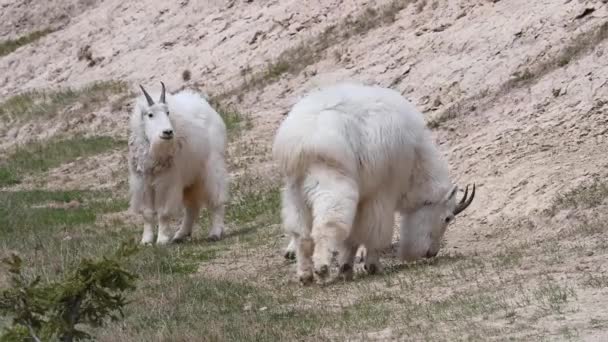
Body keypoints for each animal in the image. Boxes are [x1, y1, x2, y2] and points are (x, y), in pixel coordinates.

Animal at [127, 81, 229, 244]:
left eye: (168, 112)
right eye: (150, 114)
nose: (168, 132)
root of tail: (208, 108)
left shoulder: (166, 183)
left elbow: (163, 212)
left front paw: (162, 240)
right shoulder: (143, 182)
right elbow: (147, 213)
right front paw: (146, 241)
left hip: (212, 167)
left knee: (217, 200)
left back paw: (215, 233)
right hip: (190, 179)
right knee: (192, 207)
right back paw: (180, 235)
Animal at [274, 82, 478, 284]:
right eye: (447, 218)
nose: (431, 253)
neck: (415, 161)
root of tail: (299, 143)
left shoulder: (363, 197)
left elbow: (352, 238)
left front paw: (346, 269)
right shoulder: (381, 193)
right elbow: (375, 232)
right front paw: (372, 266)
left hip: (294, 190)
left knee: (300, 233)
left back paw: (305, 275)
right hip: (330, 182)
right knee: (327, 224)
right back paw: (322, 268)